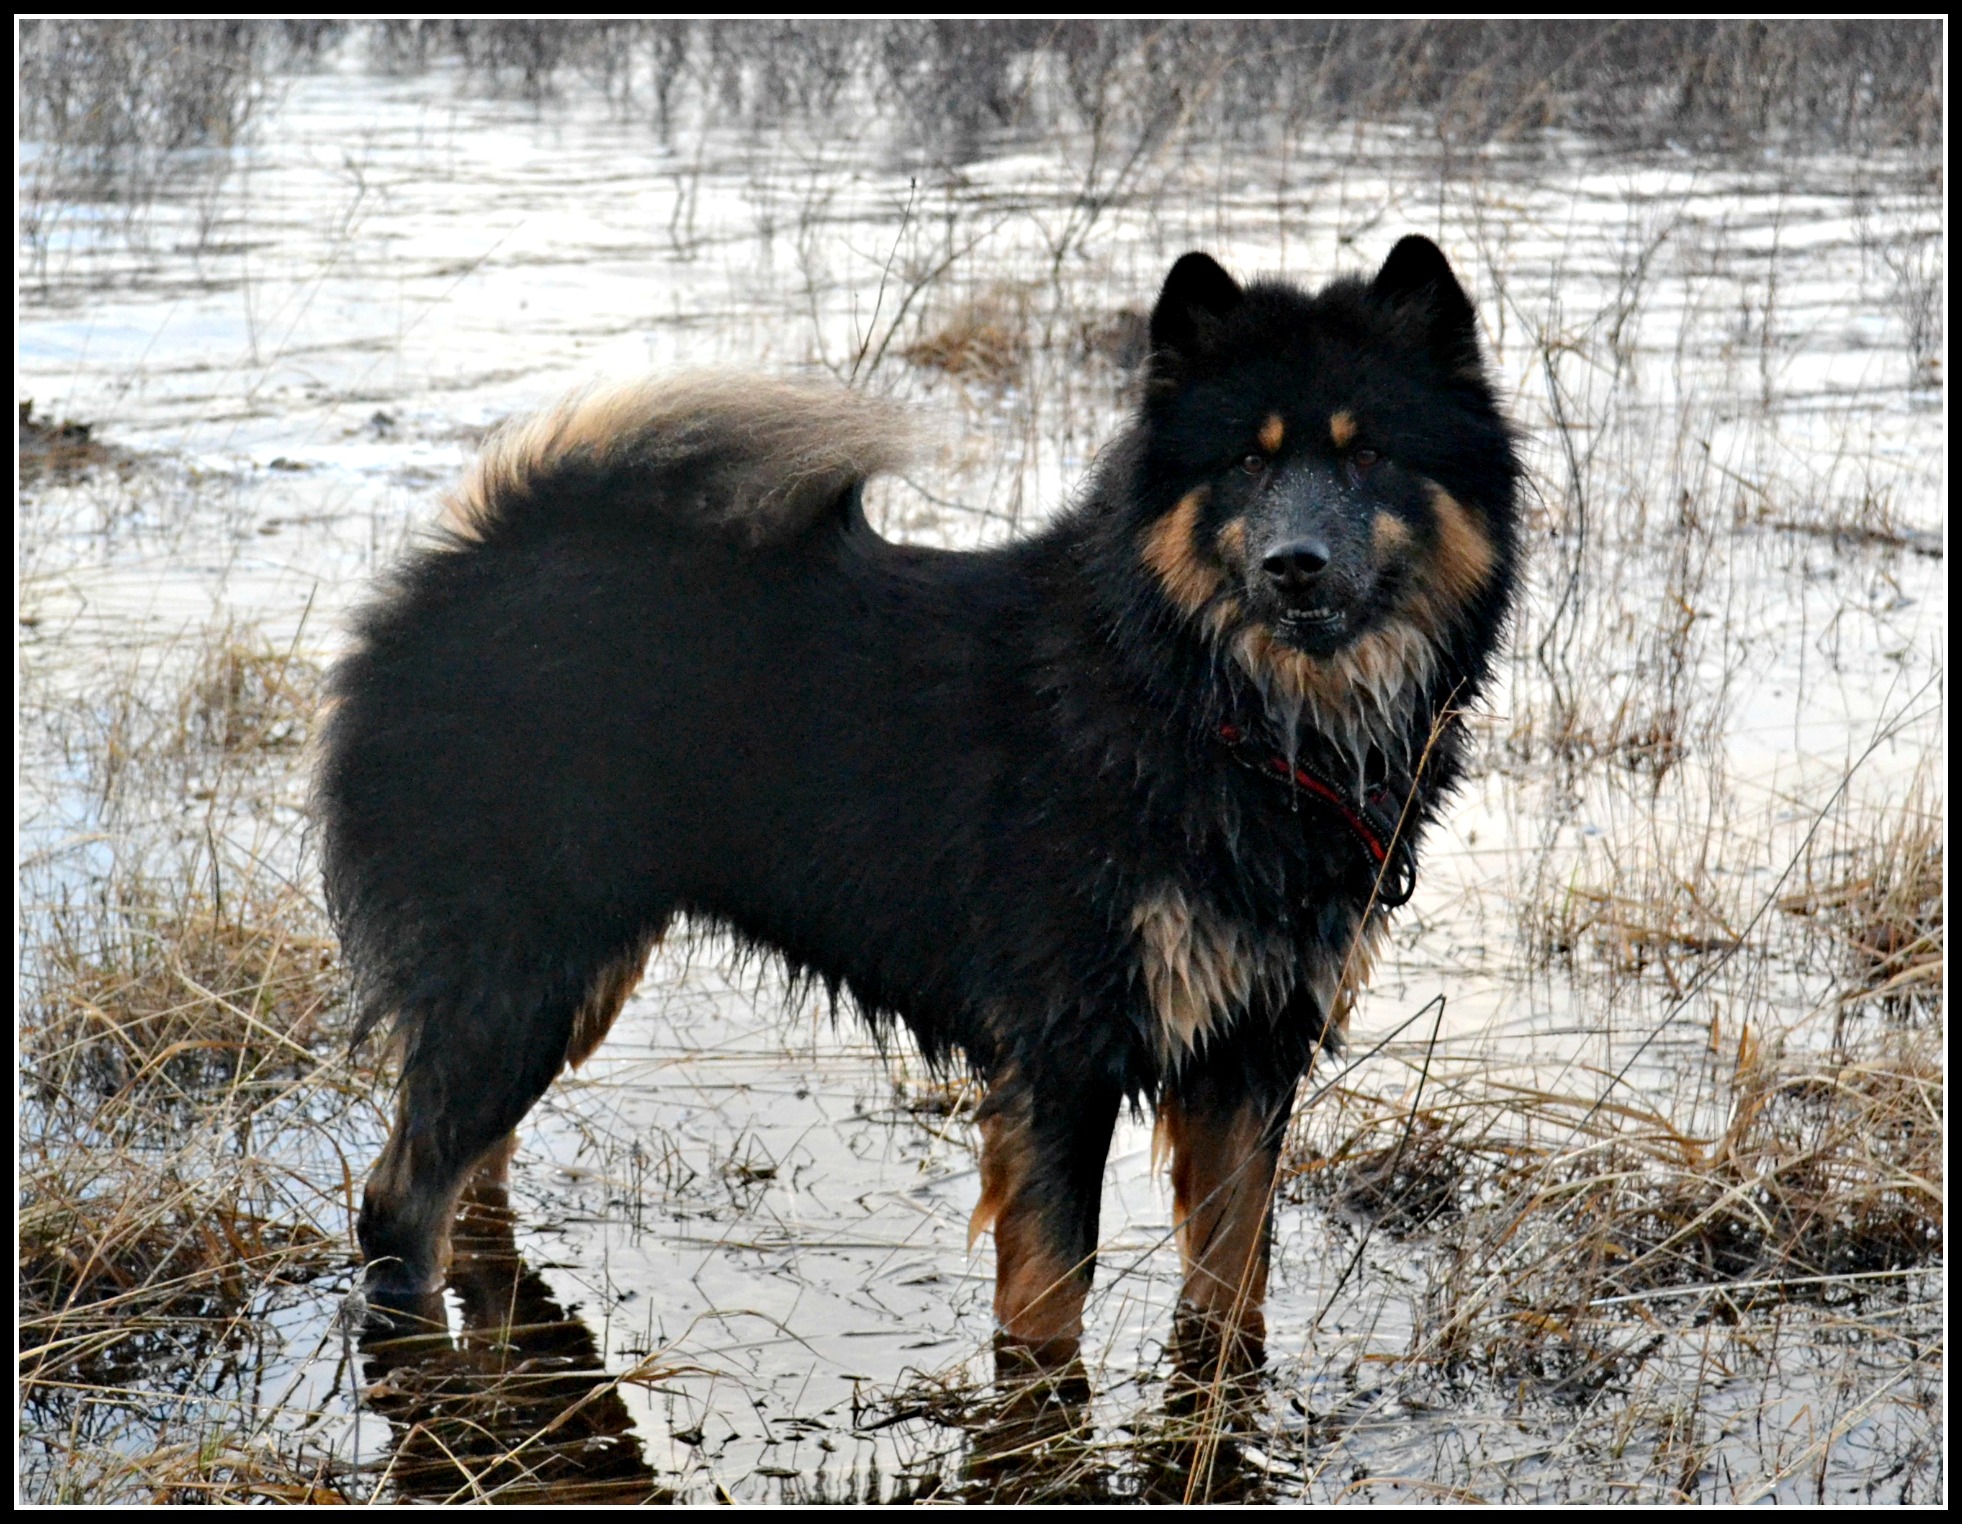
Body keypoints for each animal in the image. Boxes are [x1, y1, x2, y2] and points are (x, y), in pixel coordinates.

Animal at [316, 236, 1520, 1372]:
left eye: (1368, 452)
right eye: (1244, 464)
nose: (1293, 565)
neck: (1213, 706)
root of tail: (464, 566)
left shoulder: (1250, 1055)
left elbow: (1230, 1294)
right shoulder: (1062, 1056)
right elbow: (1051, 1302)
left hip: (569, 985)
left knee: (471, 1176)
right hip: (520, 977)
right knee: (397, 1205)